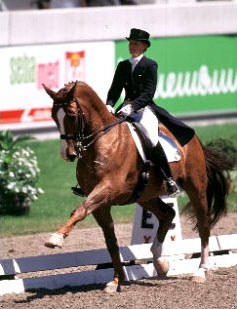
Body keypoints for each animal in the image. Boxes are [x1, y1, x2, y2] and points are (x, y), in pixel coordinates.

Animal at [43, 80, 231, 292]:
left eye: (72, 115)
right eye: (53, 116)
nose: (68, 155)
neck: (102, 142)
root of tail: (195, 139)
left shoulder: (106, 188)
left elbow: (80, 210)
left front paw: (55, 239)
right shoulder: (100, 203)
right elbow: (111, 242)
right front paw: (116, 281)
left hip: (196, 187)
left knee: (203, 225)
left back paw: (200, 271)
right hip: (144, 195)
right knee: (168, 214)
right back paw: (160, 262)